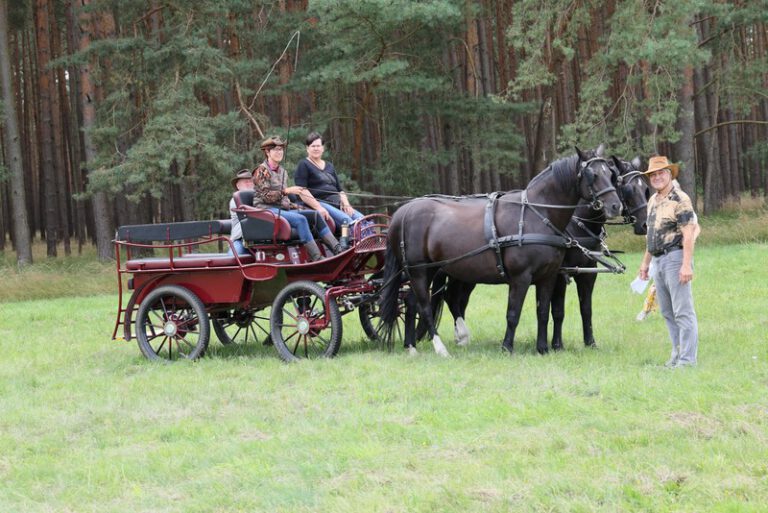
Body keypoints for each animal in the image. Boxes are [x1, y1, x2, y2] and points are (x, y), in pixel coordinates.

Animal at [378, 147, 624, 356]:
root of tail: (403, 211)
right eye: (592, 175)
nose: (615, 206)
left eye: (610, 175)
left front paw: (543, 348)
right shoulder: (521, 277)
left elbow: (544, 312)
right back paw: (440, 348)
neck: (538, 214)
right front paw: (507, 347)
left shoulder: (549, 276)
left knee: (412, 302)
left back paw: (411, 346)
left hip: (431, 270)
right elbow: (513, 314)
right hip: (419, 270)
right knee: (425, 305)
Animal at [426, 154, 648, 350]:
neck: (574, 223)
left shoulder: (586, 273)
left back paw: (460, 336)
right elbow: (557, 311)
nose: (645, 225)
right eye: (626, 187)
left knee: (455, 299)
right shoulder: (560, 274)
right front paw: (557, 345)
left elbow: (585, 309)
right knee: (450, 298)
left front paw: (589, 343)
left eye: (645, 188)